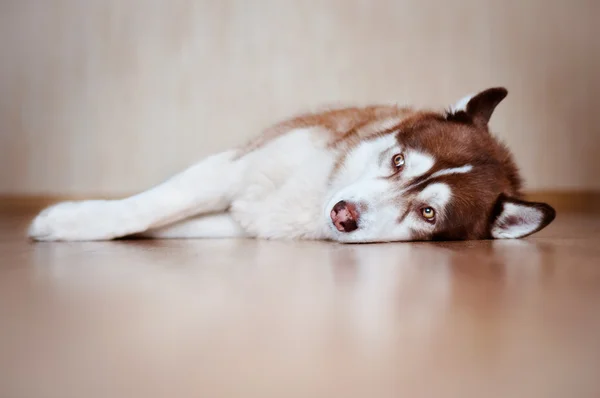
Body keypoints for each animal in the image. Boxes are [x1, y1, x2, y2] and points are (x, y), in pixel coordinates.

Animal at [25, 87, 556, 243]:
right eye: (398, 160)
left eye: (428, 213)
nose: (343, 214)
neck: (314, 195)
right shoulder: (234, 168)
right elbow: (150, 207)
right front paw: (71, 220)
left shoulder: (250, 219)